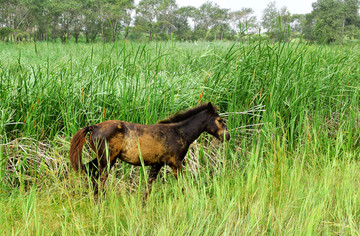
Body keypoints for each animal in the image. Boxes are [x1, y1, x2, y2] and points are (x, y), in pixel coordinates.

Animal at [69, 102, 229, 200]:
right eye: (220, 120)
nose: (227, 136)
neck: (179, 132)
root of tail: (94, 127)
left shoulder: (157, 164)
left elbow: (148, 187)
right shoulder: (176, 163)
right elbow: (182, 186)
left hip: (102, 159)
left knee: (91, 174)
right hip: (107, 160)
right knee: (99, 181)